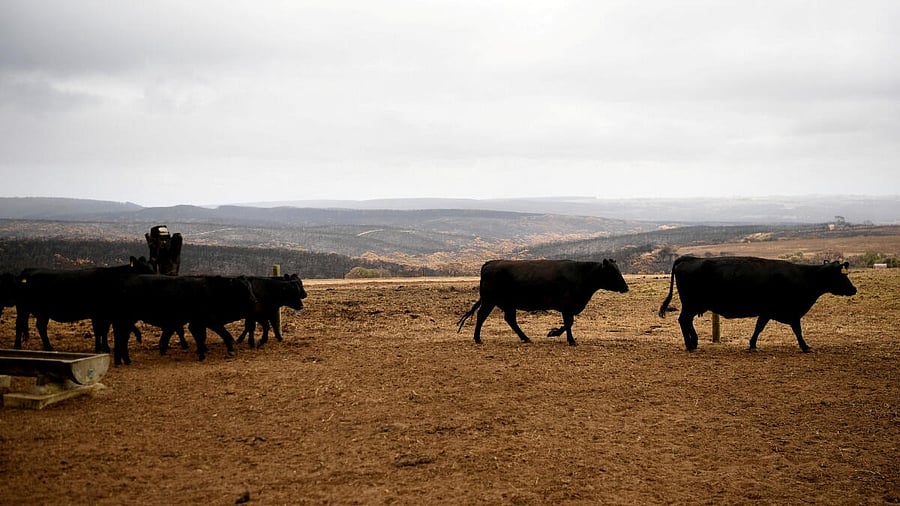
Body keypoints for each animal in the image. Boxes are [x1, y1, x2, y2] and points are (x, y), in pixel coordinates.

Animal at [13, 257, 155, 352]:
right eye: (144, 269)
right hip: (30, 310)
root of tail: (27, 271)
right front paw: (99, 348)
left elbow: (104, 331)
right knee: (25, 325)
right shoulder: (97, 314)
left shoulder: (107, 315)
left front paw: (105, 347)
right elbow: (99, 331)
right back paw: (28, 347)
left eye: (152, 268)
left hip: (33, 311)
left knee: (33, 326)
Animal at [110, 275, 257, 365]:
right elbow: (224, 334)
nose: (254, 300)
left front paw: (202, 352)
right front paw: (226, 350)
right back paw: (125, 360)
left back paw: (122, 361)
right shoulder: (208, 320)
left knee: (121, 339)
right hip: (126, 319)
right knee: (121, 339)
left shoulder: (198, 322)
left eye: (250, 287)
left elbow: (201, 337)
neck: (212, 290)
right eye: (242, 289)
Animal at [457, 259, 629, 346]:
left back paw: (525, 338)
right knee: (481, 316)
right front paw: (567, 339)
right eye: (612, 272)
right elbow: (569, 323)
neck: (582, 275)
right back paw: (478, 339)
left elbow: (568, 323)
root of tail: (489, 264)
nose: (626, 288)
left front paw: (555, 333)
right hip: (490, 300)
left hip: (507, 304)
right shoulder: (567, 306)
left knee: (510, 320)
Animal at [658, 256, 858, 352]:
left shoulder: (767, 311)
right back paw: (690, 344)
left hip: (694, 305)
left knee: (687, 321)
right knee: (684, 320)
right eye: (842, 275)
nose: (854, 289)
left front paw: (752, 344)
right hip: (691, 304)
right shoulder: (789, 311)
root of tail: (689, 258)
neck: (805, 276)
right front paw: (805, 346)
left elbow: (758, 327)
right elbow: (797, 330)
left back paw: (693, 342)